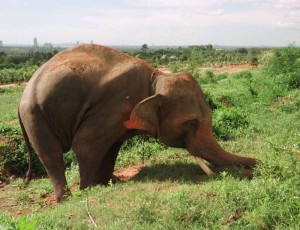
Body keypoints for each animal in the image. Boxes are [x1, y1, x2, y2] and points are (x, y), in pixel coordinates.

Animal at [18, 44, 258, 201]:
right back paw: (64, 198)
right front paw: (88, 191)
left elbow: (111, 148)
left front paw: (106, 184)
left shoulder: (117, 118)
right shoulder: (112, 106)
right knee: (51, 156)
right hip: (35, 116)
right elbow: (85, 145)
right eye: (191, 123)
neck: (156, 78)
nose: (258, 164)